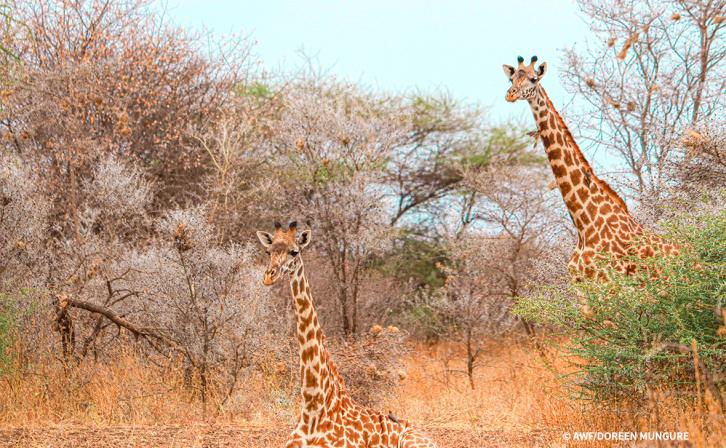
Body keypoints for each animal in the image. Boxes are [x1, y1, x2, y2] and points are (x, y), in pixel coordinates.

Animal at [502, 55, 678, 280]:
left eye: (534, 79)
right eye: (511, 79)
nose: (511, 94)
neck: (584, 225)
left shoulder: (608, 281)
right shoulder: (579, 283)